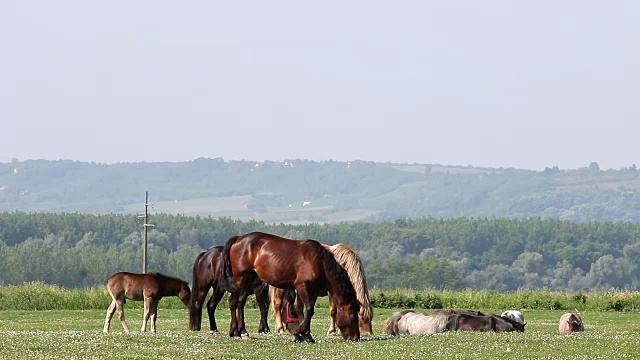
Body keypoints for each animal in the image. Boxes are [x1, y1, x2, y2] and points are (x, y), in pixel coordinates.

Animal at [220, 232, 360, 342]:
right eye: (353, 316)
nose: (356, 337)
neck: (318, 261)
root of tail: (238, 239)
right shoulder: (302, 287)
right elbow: (308, 310)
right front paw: (301, 332)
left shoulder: (311, 291)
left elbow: (301, 310)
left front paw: (306, 335)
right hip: (239, 279)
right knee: (233, 302)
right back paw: (237, 332)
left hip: (248, 280)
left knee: (240, 304)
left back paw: (242, 332)